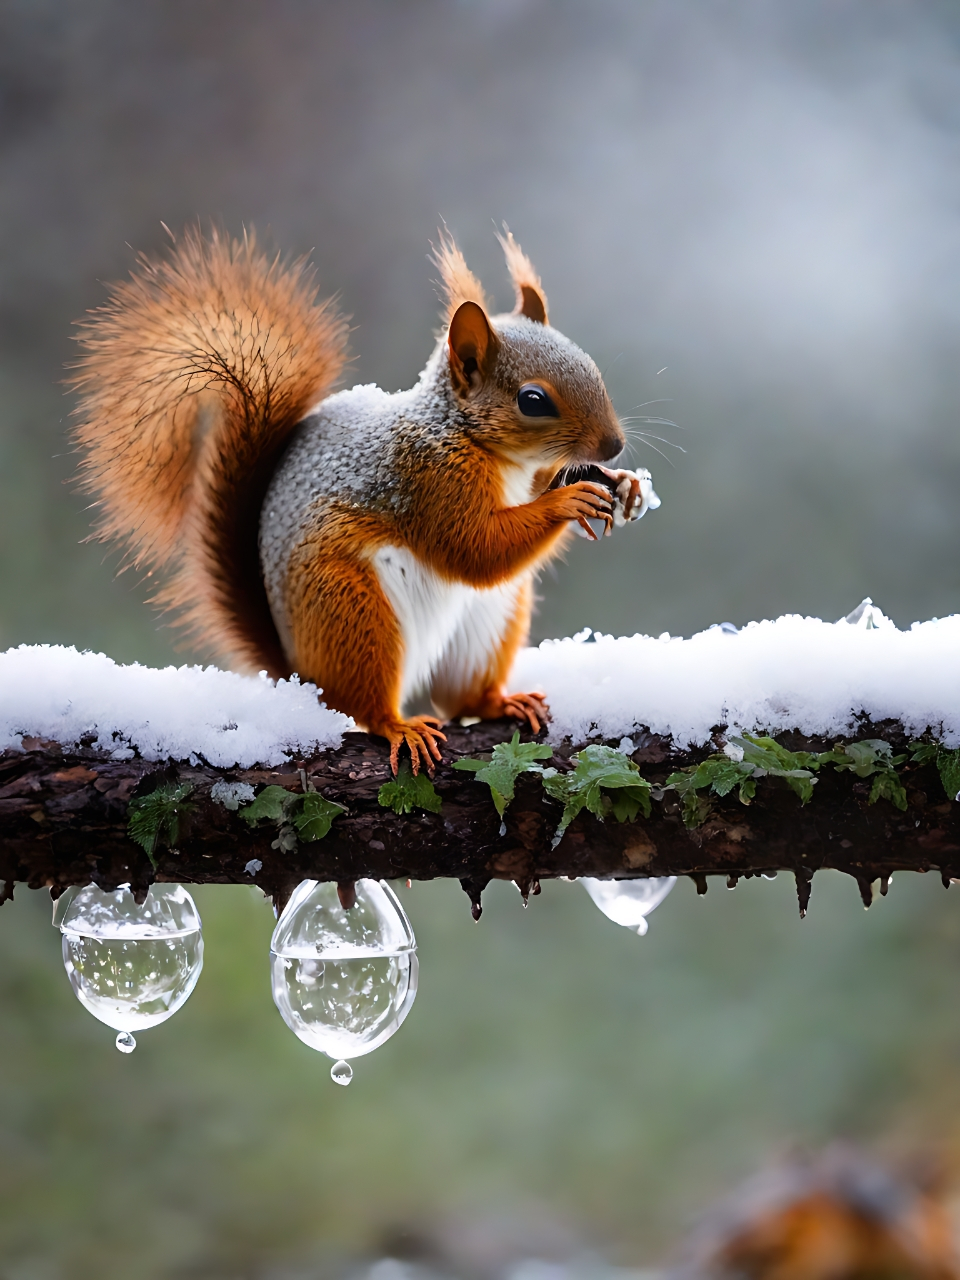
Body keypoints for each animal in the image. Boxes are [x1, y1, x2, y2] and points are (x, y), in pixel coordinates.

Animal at [71, 222, 660, 768]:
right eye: (533, 400)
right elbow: (474, 548)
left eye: (592, 367)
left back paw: (501, 702)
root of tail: (301, 676)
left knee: (460, 698)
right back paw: (398, 726)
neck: (473, 440)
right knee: (364, 703)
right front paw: (568, 501)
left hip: (487, 624)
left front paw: (624, 485)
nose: (613, 445)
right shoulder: (426, 480)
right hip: (353, 612)